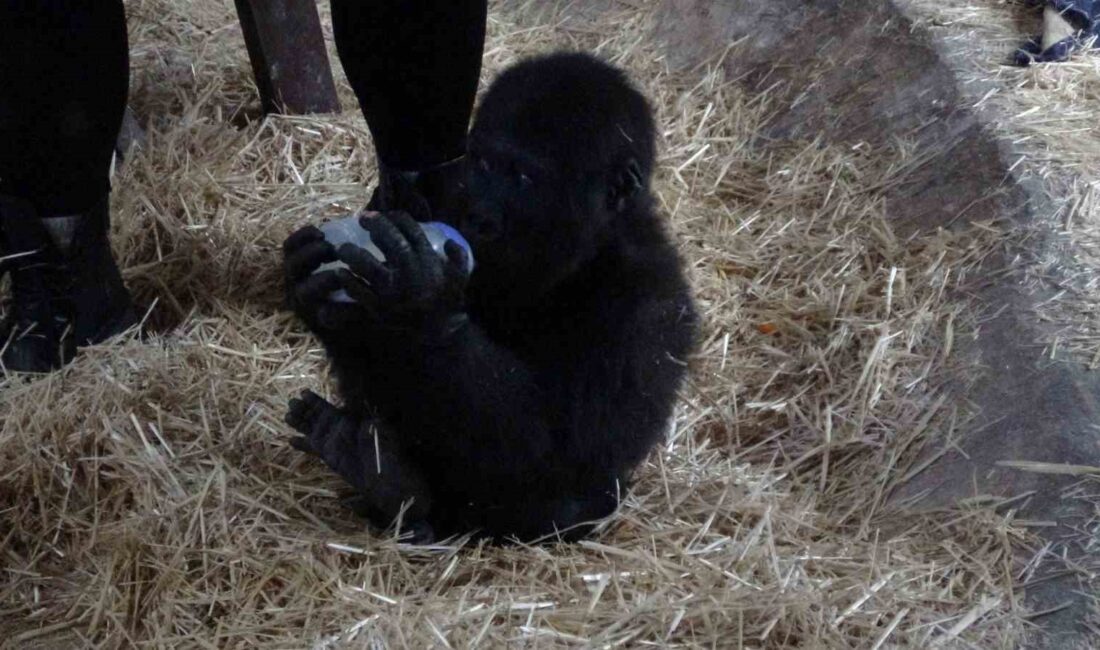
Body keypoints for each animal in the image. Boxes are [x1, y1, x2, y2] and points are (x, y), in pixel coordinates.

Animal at [283, 53, 695, 543]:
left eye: (522, 177)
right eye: (481, 163)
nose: (479, 212)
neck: (587, 249)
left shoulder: (647, 304)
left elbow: (559, 451)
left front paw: (422, 307)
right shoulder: (440, 196)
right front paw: (320, 298)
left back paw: (395, 486)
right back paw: (376, 470)